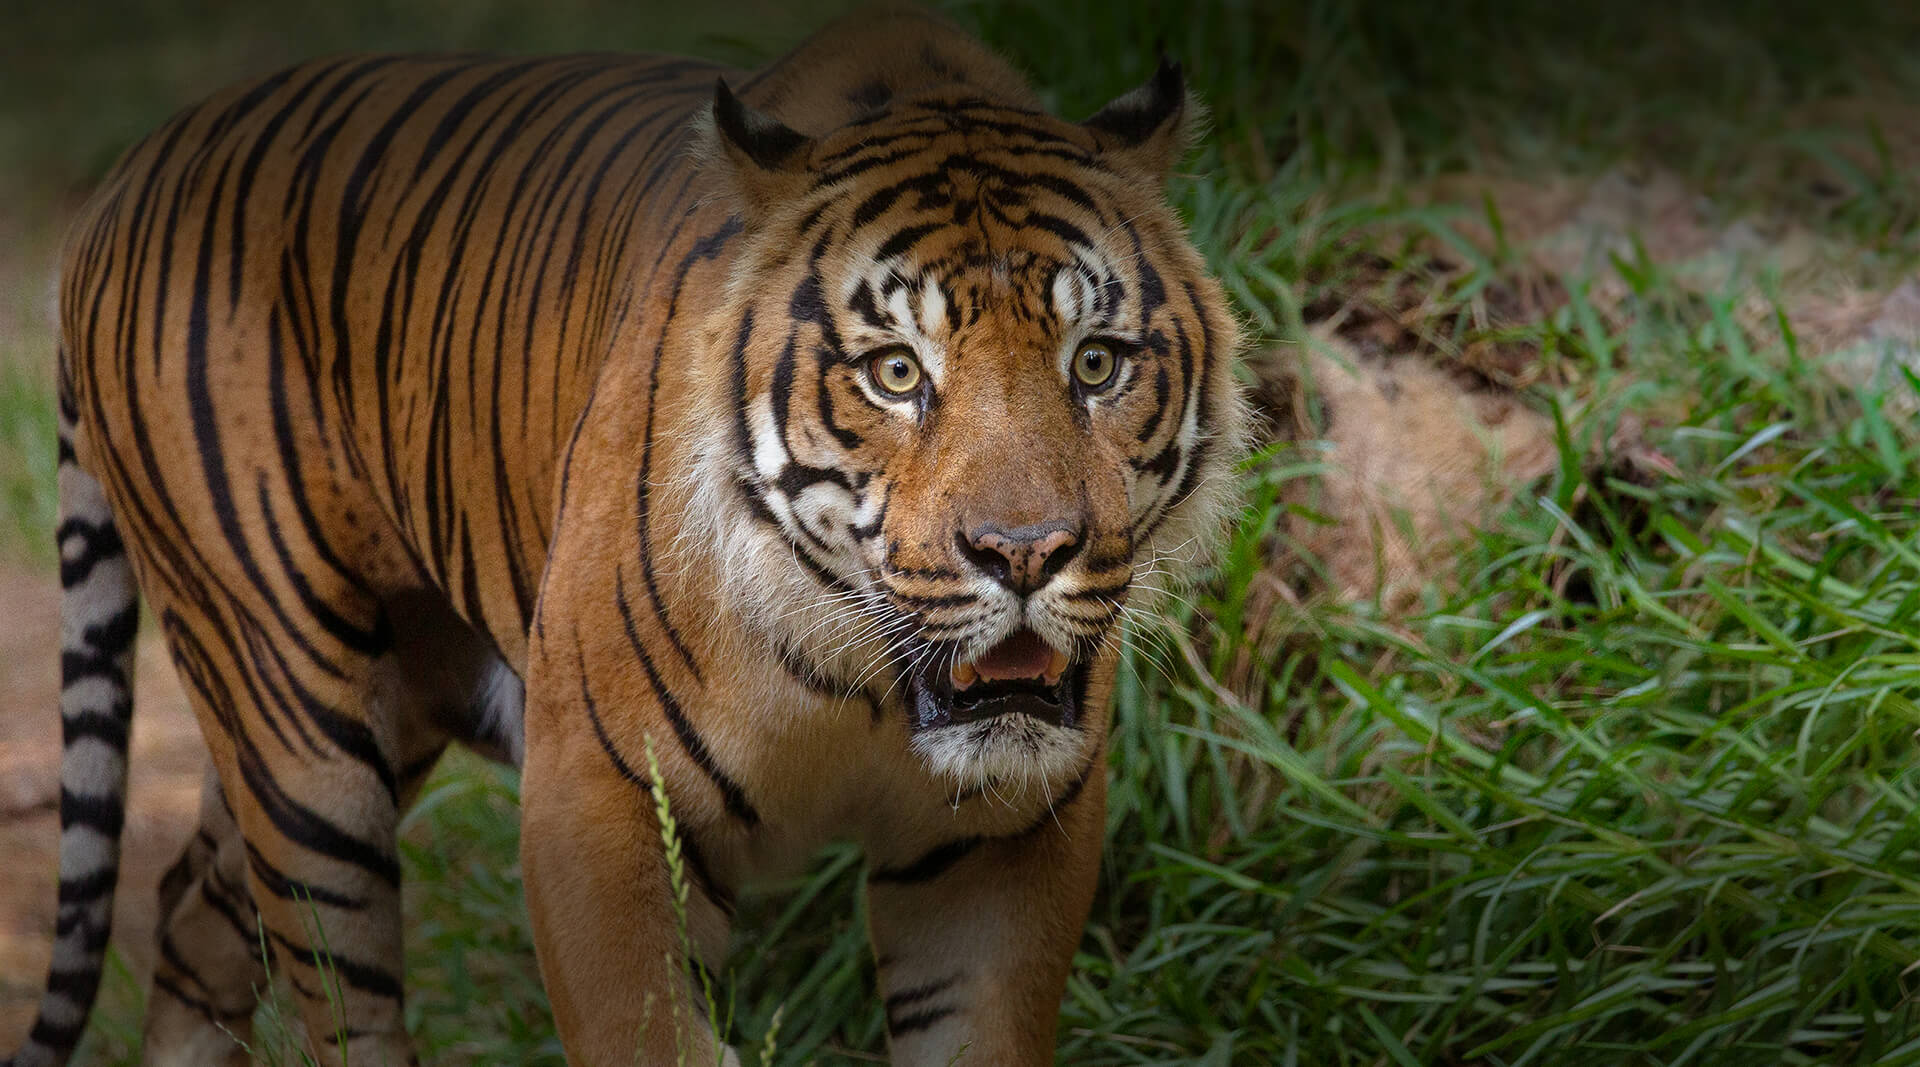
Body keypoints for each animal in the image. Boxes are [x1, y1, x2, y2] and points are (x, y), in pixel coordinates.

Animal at [4, 6, 1246, 1065]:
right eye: (897, 373)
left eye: (1096, 363)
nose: (1026, 552)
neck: (860, 681)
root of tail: (141, 160)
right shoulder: (597, 805)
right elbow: (646, 1030)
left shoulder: (1004, 840)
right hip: (298, 727)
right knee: (331, 990)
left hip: (377, 706)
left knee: (189, 915)